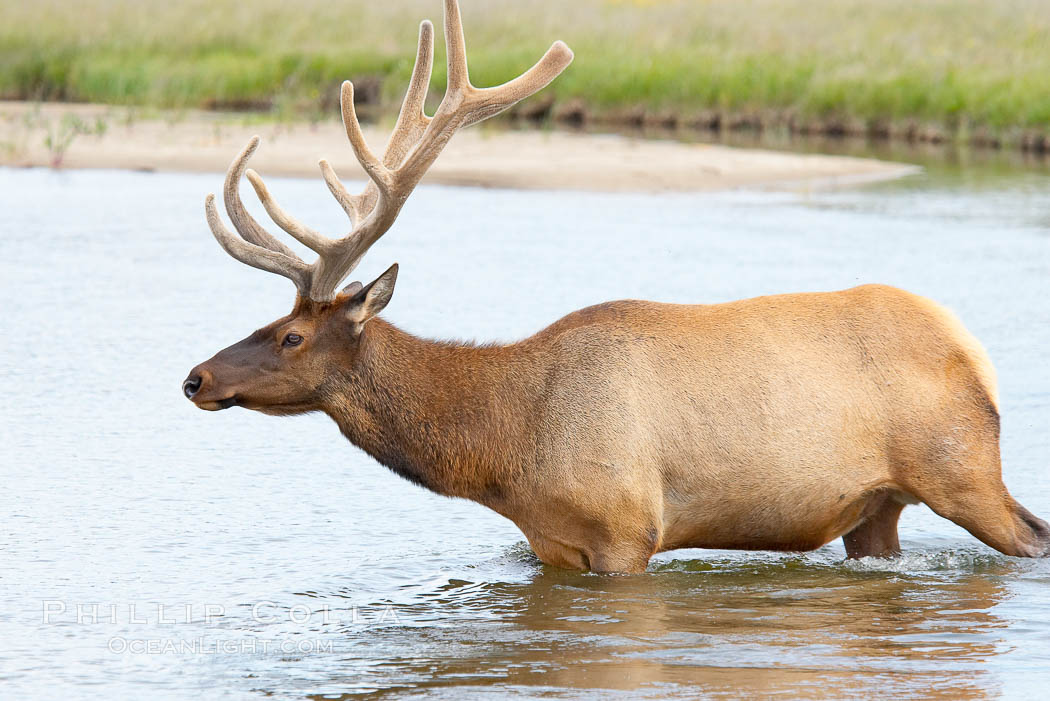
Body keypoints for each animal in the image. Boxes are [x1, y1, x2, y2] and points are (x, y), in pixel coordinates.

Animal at [182, 0, 1050, 570]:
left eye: (292, 334)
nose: (195, 377)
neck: (508, 449)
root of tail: (973, 346)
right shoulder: (552, 545)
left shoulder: (628, 528)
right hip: (877, 505)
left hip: (964, 466)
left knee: (1032, 534)